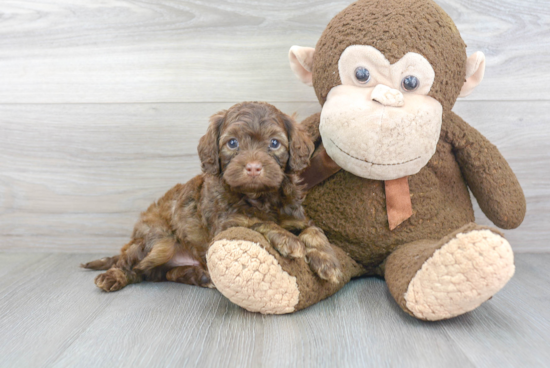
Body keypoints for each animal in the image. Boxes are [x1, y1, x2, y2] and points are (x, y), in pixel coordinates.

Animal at [82, 100, 342, 290]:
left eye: (275, 143)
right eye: (233, 143)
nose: (253, 168)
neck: (258, 197)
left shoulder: (297, 218)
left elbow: (314, 231)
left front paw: (327, 260)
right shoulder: (226, 224)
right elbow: (257, 223)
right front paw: (288, 239)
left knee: (161, 273)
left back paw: (200, 276)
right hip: (158, 239)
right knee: (134, 267)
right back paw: (113, 276)